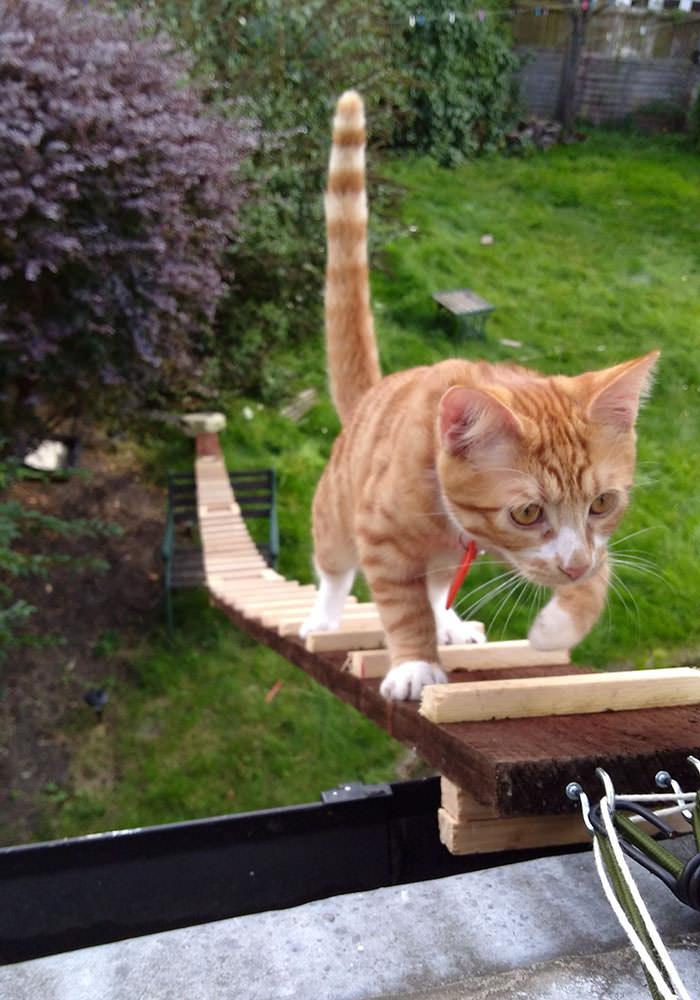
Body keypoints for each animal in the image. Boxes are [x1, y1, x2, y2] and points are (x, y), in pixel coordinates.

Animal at [302, 94, 660, 704]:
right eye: (527, 512)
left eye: (602, 503)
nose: (571, 566)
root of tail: (373, 393)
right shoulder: (381, 537)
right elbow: (401, 605)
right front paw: (415, 663)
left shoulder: (590, 543)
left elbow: (600, 567)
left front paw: (558, 624)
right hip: (335, 515)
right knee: (334, 568)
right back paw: (326, 617)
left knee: (437, 584)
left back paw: (449, 620)